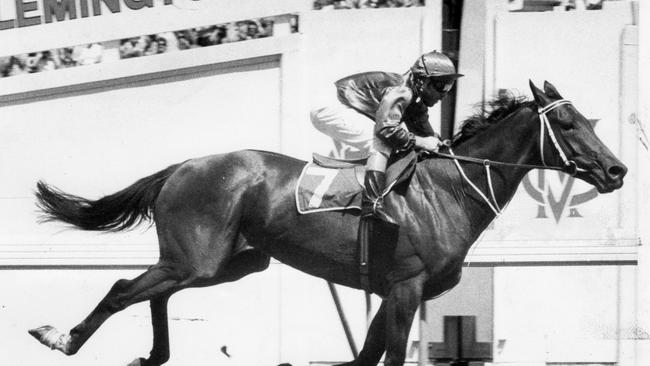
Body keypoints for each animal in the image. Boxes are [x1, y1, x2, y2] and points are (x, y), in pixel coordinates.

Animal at [29, 81, 624, 364]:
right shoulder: (406, 288)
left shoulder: (393, 291)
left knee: (154, 293)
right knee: (123, 288)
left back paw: (153, 356)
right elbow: (386, 358)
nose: (617, 170)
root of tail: (182, 167)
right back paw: (62, 339)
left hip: (230, 262)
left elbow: (367, 356)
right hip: (196, 259)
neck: (448, 191)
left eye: (587, 120)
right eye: (569, 125)